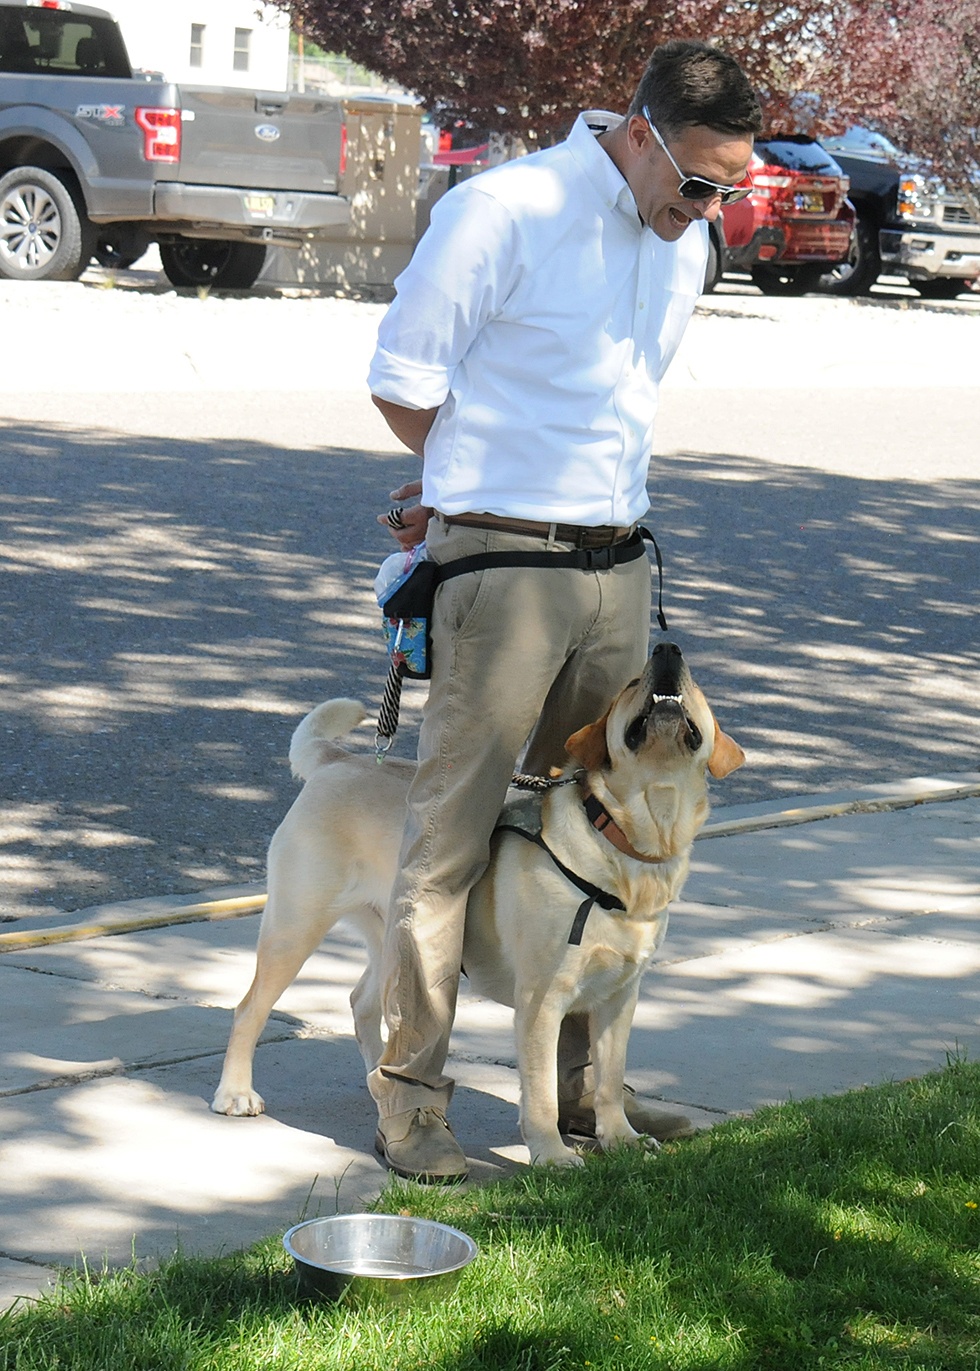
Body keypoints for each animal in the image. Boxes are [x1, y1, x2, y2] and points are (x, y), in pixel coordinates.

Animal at [215, 641, 745, 1168]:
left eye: (694, 683)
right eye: (633, 684)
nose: (667, 649)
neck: (628, 841)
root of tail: (338, 759)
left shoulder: (619, 996)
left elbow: (610, 1079)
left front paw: (622, 1138)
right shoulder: (541, 1001)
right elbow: (542, 1092)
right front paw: (552, 1156)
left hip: (393, 934)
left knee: (363, 1002)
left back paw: (379, 1084)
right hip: (296, 924)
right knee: (249, 1008)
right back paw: (236, 1094)